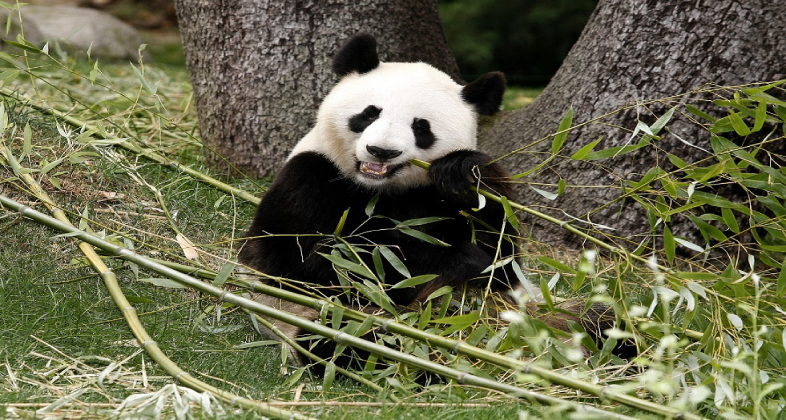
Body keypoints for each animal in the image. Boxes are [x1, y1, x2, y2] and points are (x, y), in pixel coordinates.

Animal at [237, 33, 632, 374]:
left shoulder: (436, 199)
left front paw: (463, 176)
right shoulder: (309, 177)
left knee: (606, 320)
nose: (381, 151)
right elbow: (315, 263)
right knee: (349, 342)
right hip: (324, 320)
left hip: (545, 312)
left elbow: (503, 255)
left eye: (421, 127)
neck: (382, 188)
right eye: (370, 113)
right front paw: (455, 262)